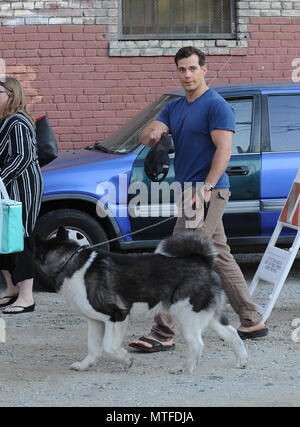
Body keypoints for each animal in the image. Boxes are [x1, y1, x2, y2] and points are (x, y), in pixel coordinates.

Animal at [34, 227, 246, 374]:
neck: (70, 262)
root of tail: (201, 261)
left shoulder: (117, 315)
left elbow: (108, 346)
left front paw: (126, 360)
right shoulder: (94, 321)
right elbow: (93, 348)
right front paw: (84, 365)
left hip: (187, 317)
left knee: (198, 345)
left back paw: (185, 369)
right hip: (207, 316)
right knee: (232, 334)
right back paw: (241, 362)